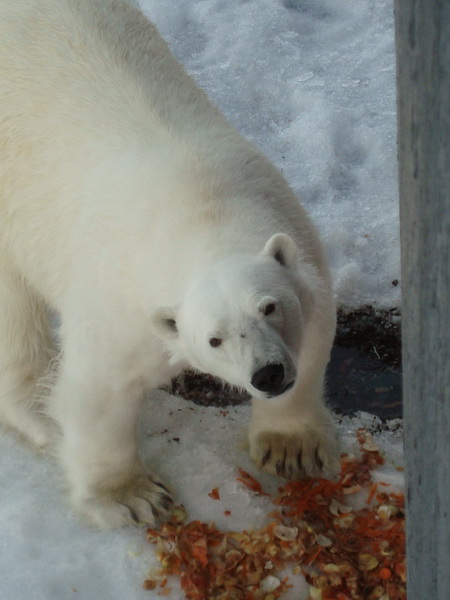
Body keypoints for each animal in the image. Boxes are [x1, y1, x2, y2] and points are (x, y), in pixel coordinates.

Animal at [0, 0, 338, 524]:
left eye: (270, 307)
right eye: (214, 339)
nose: (267, 374)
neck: (200, 207)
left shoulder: (293, 228)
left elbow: (317, 325)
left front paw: (290, 447)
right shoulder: (119, 300)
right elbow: (98, 391)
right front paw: (132, 496)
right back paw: (37, 412)